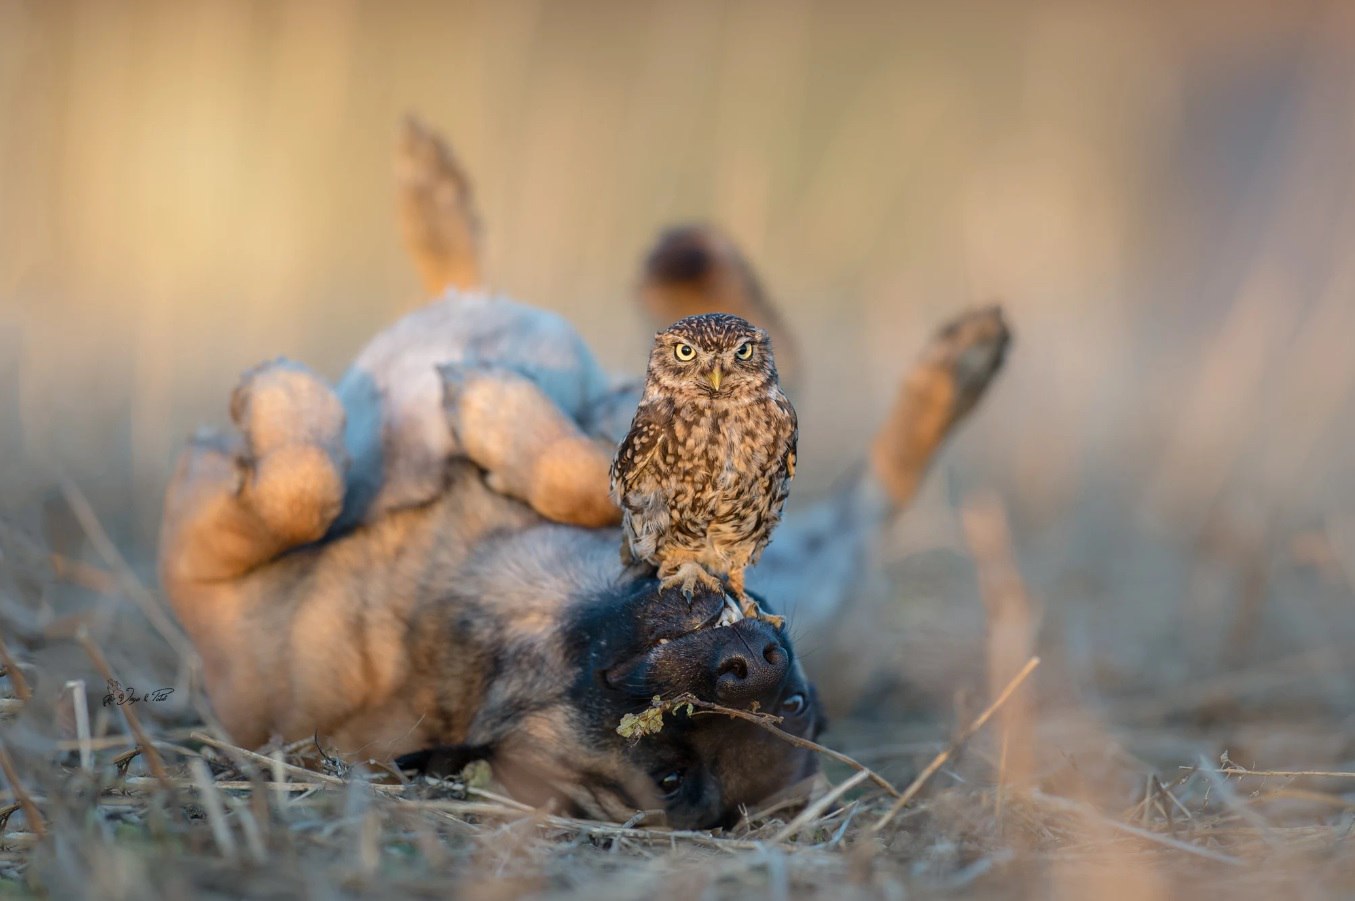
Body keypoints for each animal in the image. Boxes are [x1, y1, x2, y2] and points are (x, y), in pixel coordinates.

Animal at [158, 119, 1008, 829]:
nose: (758, 663)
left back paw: (955, 364)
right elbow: (319, 481)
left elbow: (307, 483)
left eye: (670, 776)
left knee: (872, 481)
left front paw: (476, 401)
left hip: (832, 573)